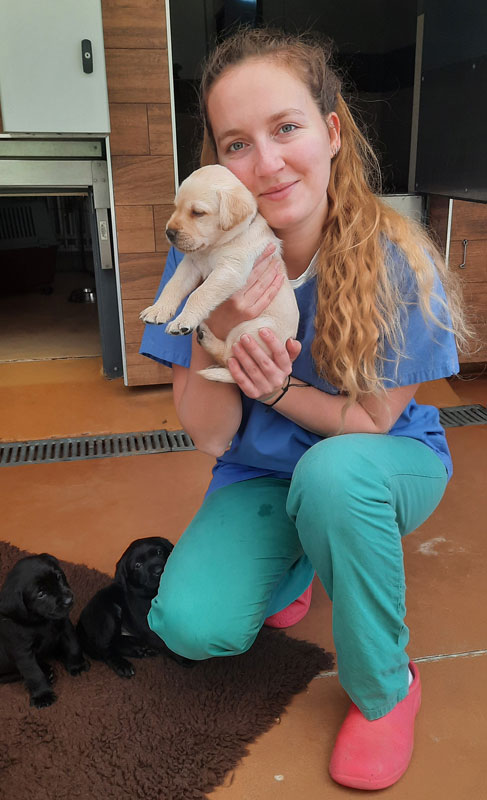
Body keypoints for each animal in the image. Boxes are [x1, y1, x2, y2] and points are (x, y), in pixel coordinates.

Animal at [0, 552, 90, 708]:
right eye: (41, 594)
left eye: (58, 577)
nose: (68, 600)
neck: (42, 621)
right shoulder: (22, 651)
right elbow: (34, 673)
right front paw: (43, 695)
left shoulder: (66, 627)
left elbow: (74, 646)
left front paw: (77, 665)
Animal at [77, 536, 190, 680]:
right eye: (138, 565)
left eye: (159, 552)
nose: (159, 570)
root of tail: (81, 620)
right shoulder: (149, 625)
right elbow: (165, 641)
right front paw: (183, 656)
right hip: (109, 613)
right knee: (104, 648)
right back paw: (122, 664)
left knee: (117, 642)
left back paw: (140, 650)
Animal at [139, 162, 300, 382]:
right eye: (176, 207)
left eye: (198, 212)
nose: (169, 233)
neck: (215, 246)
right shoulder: (191, 264)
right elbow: (173, 285)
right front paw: (158, 310)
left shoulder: (230, 269)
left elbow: (199, 294)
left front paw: (183, 320)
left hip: (253, 330)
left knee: (231, 358)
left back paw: (207, 339)